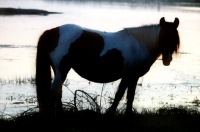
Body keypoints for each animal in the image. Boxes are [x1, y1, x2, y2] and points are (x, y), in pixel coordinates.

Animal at [35, 17, 180, 116]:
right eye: (163, 36)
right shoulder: (132, 76)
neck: (141, 44)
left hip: (60, 72)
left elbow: (121, 95)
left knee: (57, 94)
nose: (167, 60)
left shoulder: (128, 76)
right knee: (53, 93)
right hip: (61, 71)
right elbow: (127, 96)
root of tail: (51, 32)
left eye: (174, 38)